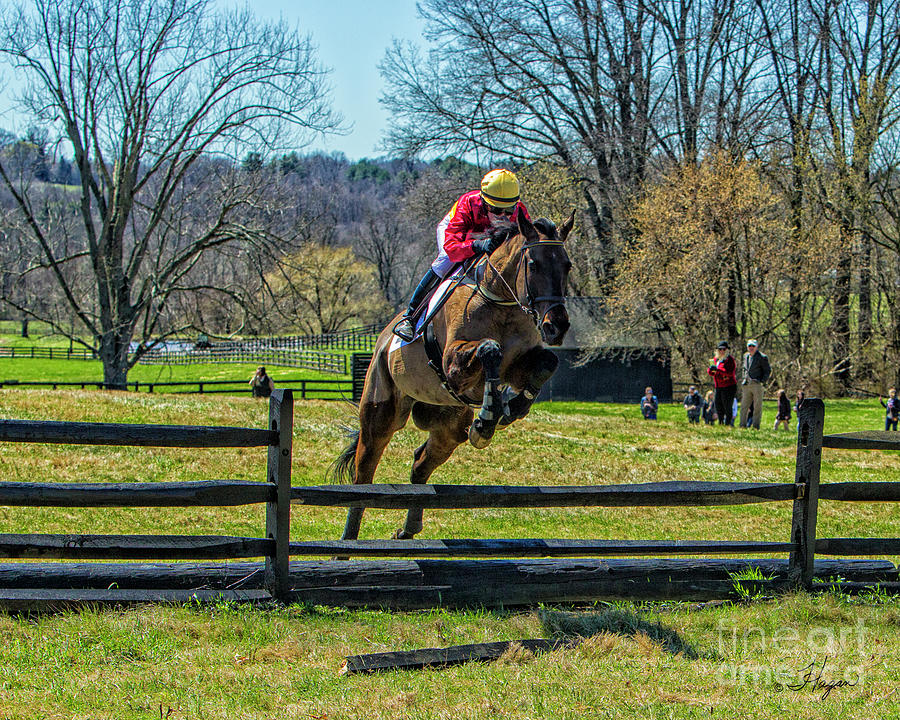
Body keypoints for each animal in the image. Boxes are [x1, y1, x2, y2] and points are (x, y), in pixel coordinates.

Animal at [332, 210, 576, 540]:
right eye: (534, 264)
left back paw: (407, 530)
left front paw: (512, 407)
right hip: (380, 409)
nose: (556, 326)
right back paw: (349, 538)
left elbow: (547, 362)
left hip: (448, 425)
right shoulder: (453, 365)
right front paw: (487, 419)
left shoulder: (520, 363)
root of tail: (382, 340)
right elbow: (489, 349)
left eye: (567, 265)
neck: (500, 301)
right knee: (364, 471)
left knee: (421, 463)